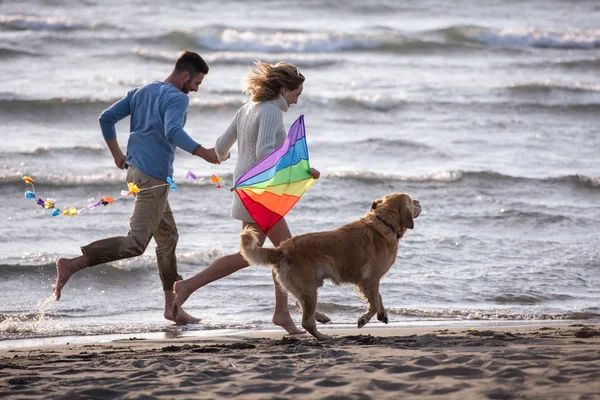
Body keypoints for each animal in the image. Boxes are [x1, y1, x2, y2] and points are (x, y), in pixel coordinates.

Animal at [240, 192, 422, 340]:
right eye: (412, 201)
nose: (419, 201)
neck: (385, 223)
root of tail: (281, 249)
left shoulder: (369, 281)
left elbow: (378, 297)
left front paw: (382, 314)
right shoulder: (370, 279)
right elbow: (375, 301)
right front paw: (364, 319)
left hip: (303, 286)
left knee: (300, 305)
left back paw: (321, 318)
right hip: (308, 288)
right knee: (306, 321)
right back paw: (323, 337)